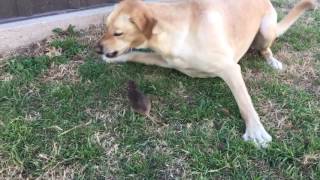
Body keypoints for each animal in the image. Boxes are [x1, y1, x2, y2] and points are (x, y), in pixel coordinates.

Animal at [95, 0, 316, 147]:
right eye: (106, 28)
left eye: (118, 33)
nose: (97, 49)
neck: (179, 32)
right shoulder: (166, 60)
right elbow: (137, 55)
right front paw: (114, 59)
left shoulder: (230, 68)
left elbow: (244, 102)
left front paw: (255, 130)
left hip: (266, 31)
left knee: (265, 49)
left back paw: (273, 61)